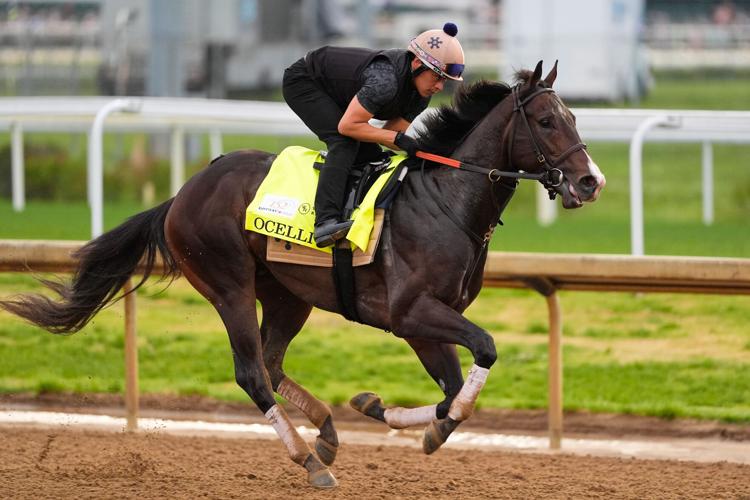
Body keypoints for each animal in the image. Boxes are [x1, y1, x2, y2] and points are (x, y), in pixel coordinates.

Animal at [1, 61, 604, 488]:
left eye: (575, 118)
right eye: (547, 121)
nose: (591, 182)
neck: (445, 200)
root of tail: (183, 192)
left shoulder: (426, 321)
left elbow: (454, 392)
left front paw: (383, 410)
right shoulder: (411, 312)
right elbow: (483, 354)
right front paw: (415, 423)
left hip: (289, 294)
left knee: (271, 362)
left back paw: (328, 435)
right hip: (229, 285)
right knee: (251, 372)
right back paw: (309, 460)